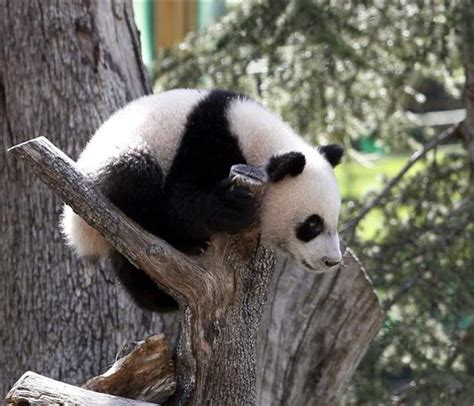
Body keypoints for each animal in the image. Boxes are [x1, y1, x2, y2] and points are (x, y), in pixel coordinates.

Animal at [62, 89, 344, 310]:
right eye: (312, 224)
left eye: (334, 222)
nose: (332, 261)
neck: (261, 142)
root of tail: (74, 229)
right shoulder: (206, 139)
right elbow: (181, 198)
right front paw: (234, 207)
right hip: (120, 158)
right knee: (136, 177)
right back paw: (182, 242)